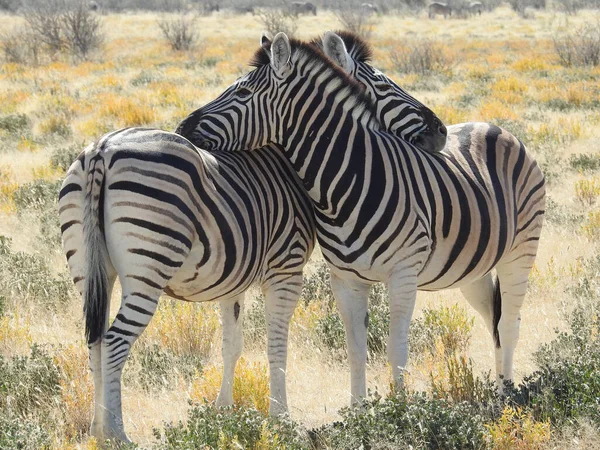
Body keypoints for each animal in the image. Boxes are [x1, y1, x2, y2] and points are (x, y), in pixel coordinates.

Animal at [58, 128, 316, 442]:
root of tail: (102, 149)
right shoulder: (286, 269)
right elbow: (277, 348)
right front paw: (281, 419)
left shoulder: (233, 283)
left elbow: (232, 346)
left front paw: (224, 411)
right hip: (148, 267)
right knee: (113, 342)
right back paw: (117, 433)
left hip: (89, 270)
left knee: (94, 341)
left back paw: (97, 430)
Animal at [185, 31, 548, 404]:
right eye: (383, 84)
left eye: (242, 93)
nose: (182, 126)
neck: (347, 182)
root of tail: (494, 127)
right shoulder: (346, 280)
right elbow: (356, 350)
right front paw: (359, 412)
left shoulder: (403, 275)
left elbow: (396, 350)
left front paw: (401, 410)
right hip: (473, 268)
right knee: (494, 319)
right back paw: (500, 388)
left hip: (521, 250)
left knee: (509, 323)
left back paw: (509, 396)